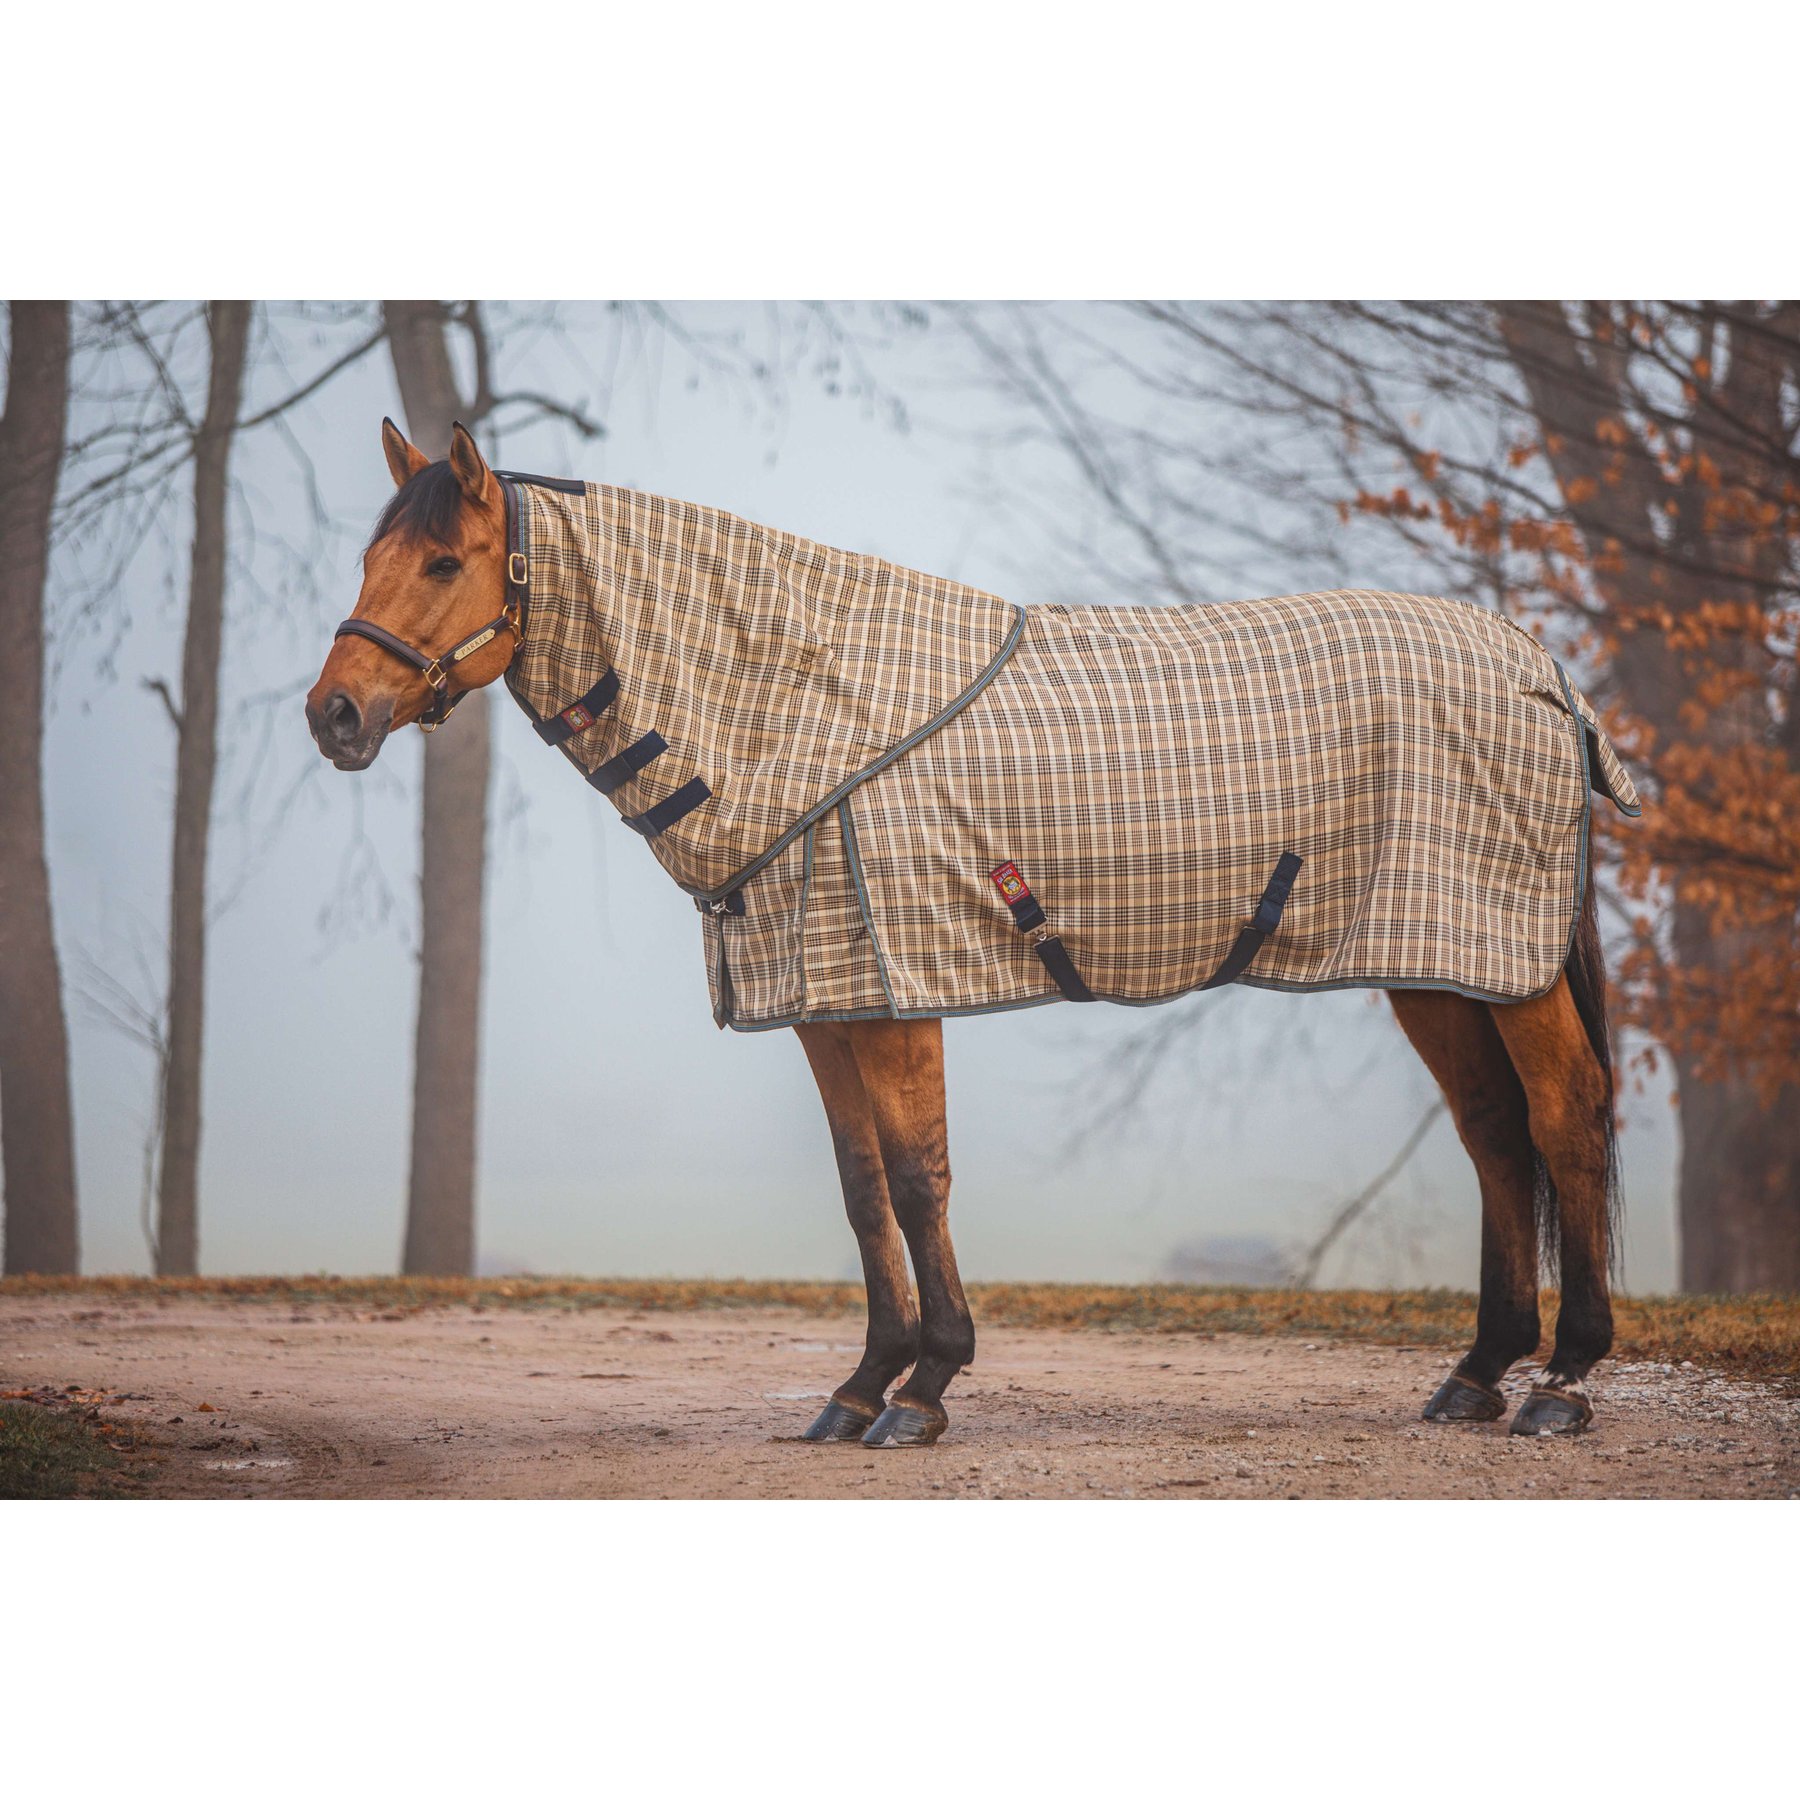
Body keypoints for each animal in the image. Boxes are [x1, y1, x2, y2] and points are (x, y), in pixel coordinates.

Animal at [307, 419, 1625, 1446]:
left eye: (442, 559)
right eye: (370, 555)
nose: (335, 715)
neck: (808, 713)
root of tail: (1540, 669)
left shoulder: (895, 990)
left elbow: (917, 1175)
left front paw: (926, 1385)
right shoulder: (826, 1000)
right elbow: (860, 1187)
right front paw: (859, 1384)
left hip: (1502, 968)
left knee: (1565, 1118)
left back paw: (1564, 1380)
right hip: (1440, 969)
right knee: (1496, 1134)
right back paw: (1478, 1374)